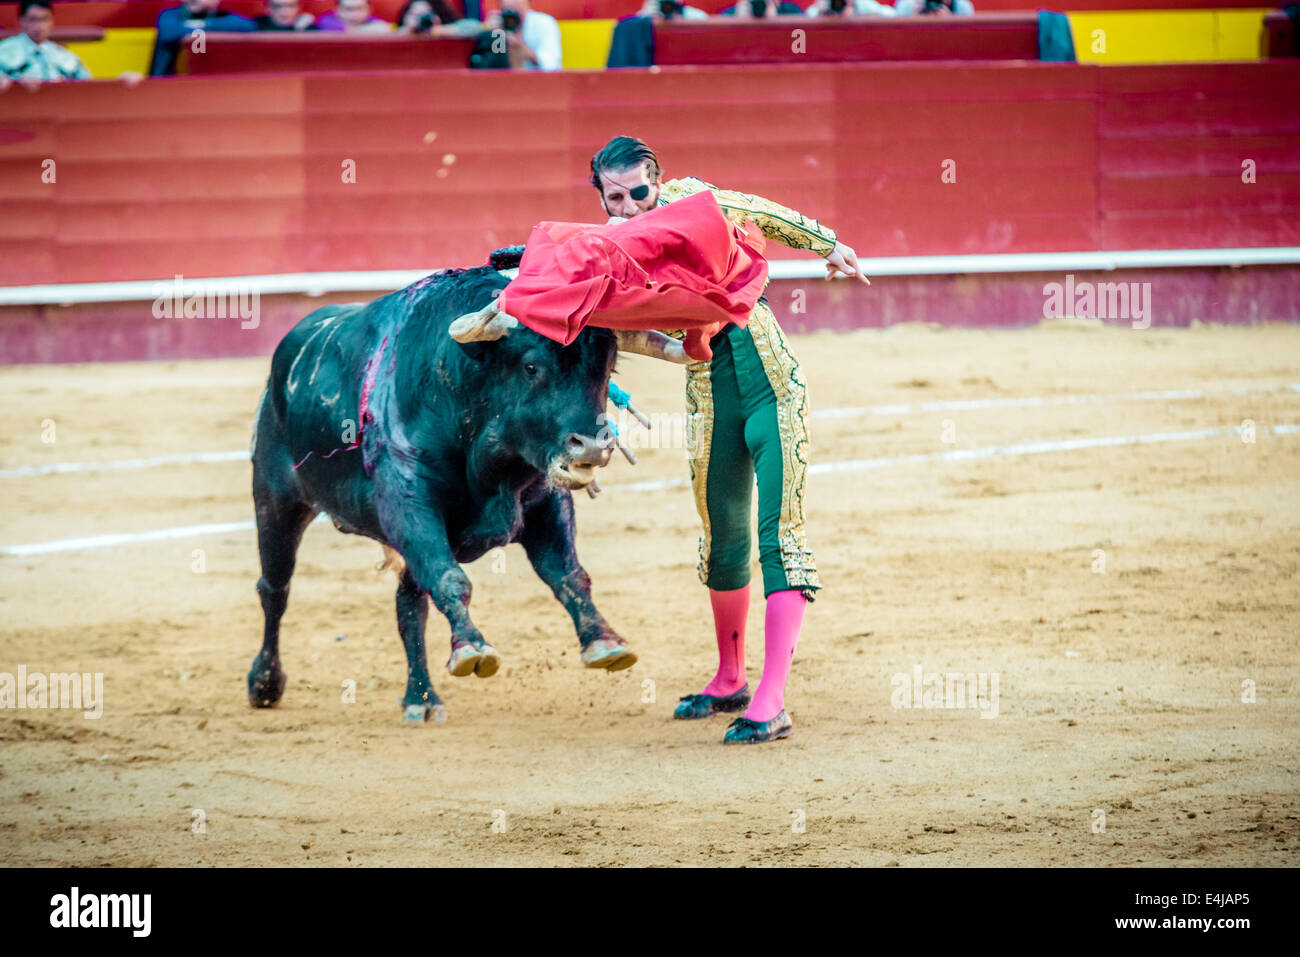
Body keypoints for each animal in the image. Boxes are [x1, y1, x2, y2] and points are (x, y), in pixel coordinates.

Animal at [246, 260, 634, 717]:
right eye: (531, 367)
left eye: (607, 368)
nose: (592, 445)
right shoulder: (411, 507)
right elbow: (450, 578)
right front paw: (471, 648)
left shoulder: (544, 503)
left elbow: (568, 574)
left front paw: (604, 642)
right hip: (276, 500)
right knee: (275, 588)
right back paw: (265, 683)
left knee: (409, 606)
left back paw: (421, 698)